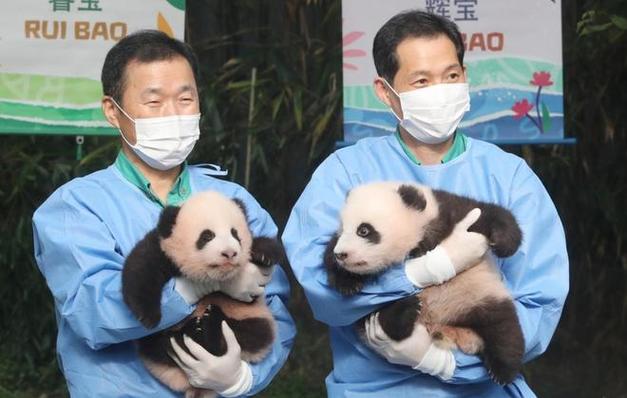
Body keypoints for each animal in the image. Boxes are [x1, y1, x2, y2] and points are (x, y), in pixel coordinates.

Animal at [121, 190, 284, 398]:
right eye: (207, 236)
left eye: (235, 234)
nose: (230, 253)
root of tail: (198, 387)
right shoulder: (163, 249)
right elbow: (141, 268)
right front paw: (148, 317)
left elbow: (262, 249)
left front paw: (264, 254)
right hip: (158, 344)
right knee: (161, 344)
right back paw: (193, 332)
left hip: (253, 320)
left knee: (252, 334)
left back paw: (208, 326)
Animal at [326, 183, 528, 386]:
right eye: (342, 229)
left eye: (363, 230)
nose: (341, 254)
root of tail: (448, 328)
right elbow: (328, 255)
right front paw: (347, 282)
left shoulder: (448, 214)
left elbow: (485, 212)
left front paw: (503, 243)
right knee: (379, 319)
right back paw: (405, 310)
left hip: (478, 295)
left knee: (503, 327)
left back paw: (502, 370)